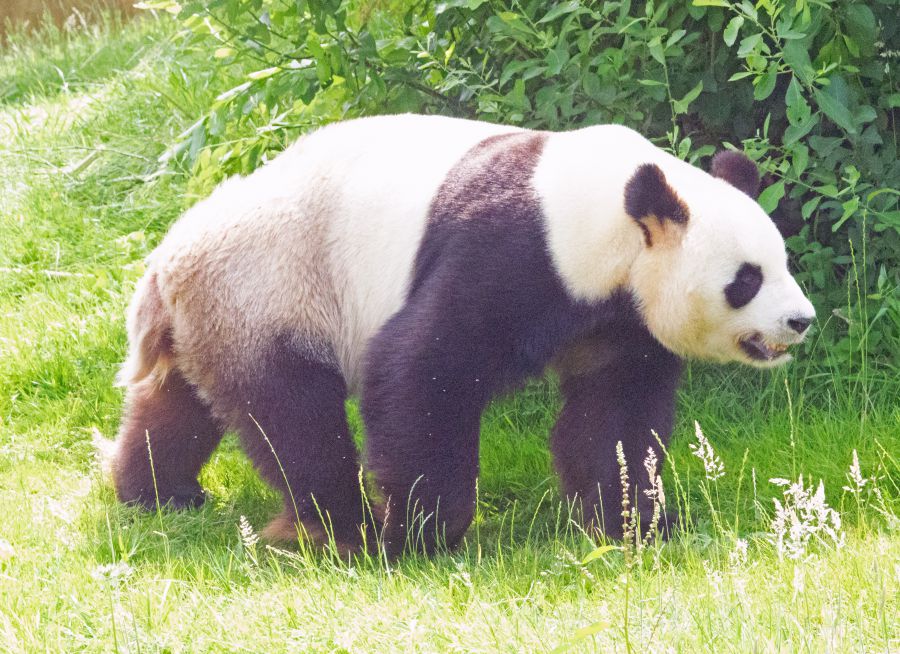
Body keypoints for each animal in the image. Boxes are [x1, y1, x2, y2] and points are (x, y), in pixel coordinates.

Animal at [105, 115, 816, 556]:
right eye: (746, 279)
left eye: (783, 262)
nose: (800, 321)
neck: (612, 212)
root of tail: (167, 260)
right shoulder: (513, 248)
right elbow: (422, 366)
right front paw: (424, 534)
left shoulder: (620, 314)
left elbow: (614, 410)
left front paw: (633, 521)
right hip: (271, 289)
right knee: (294, 415)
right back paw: (346, 528)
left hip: (218, 315)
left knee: (182, 406)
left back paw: (157, 492)